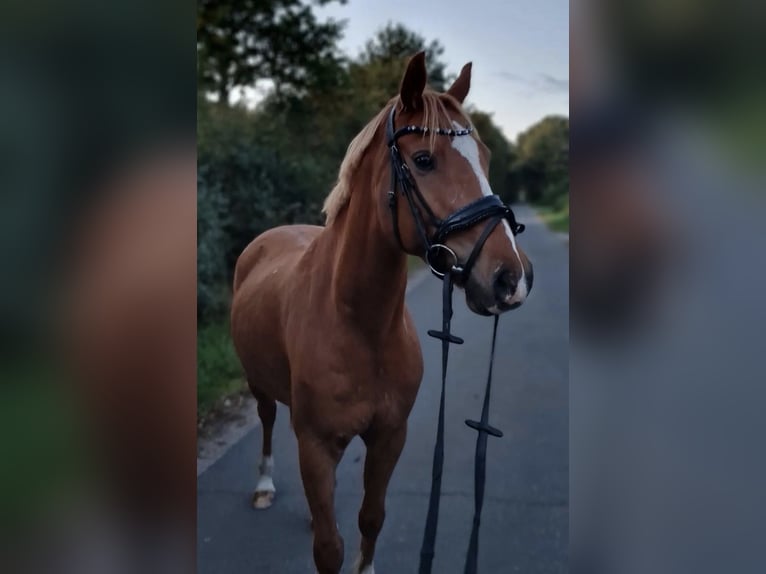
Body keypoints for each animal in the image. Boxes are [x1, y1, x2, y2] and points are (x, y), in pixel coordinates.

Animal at [230, 52, 533, 574]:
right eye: (424, 160)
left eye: (486, 158)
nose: (511, 278)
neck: (359, 325)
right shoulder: (315, 444)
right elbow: (329, 548)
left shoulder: (390, 435)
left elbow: (371, 518)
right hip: (259, 384)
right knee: (267, 420)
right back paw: (265, 485)